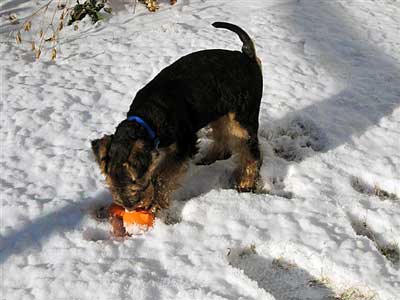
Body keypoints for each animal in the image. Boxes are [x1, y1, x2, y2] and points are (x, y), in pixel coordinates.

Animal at [90, 22, 262, 217]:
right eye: (110, 183)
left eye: (137, 185)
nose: (130, 207)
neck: (149, 119)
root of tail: (248, 56)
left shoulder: (184, 145)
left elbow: (162, 177)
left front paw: (156, 203)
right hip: (220, 112)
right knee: (223, 137)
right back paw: (210, 158)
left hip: (244, 119)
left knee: (252, 153)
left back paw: (246, 184)